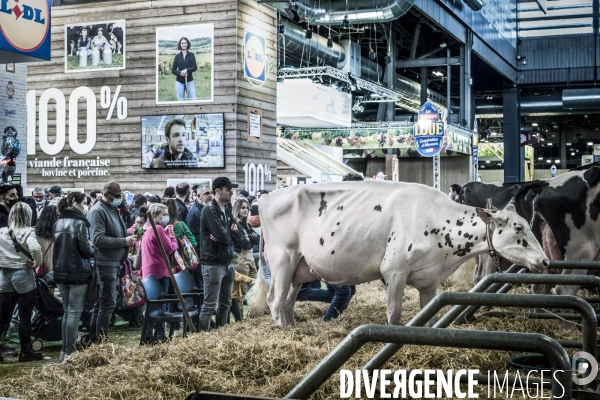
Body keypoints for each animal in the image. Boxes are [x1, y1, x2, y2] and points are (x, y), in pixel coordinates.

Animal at [251, 183, 552, 326]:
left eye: (528, 224)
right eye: (518, 228)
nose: (545, 260)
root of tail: (266, 197)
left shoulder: (429, 281)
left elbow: (429, 315)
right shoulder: (393, 271)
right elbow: (394, 313)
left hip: (300, 268)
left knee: (288, 302)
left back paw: (292, 328)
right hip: (282, 260)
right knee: (275, 301)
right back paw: (283, 332)